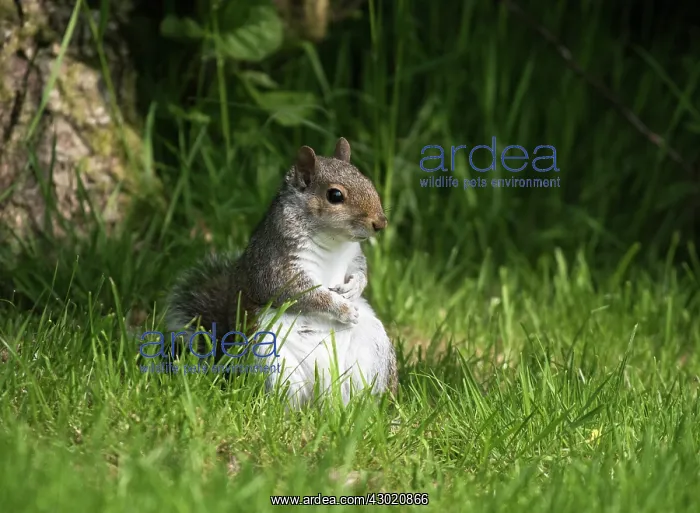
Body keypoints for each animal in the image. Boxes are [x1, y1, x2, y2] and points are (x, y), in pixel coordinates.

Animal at [165, 137, 398, 408]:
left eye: (367, 180)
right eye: (335, 195)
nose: (380, 223)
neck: (334, 241)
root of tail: (322, 399)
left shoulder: (353, 255)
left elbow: (360, 270)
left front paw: (354, 288)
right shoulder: (274, 265)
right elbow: (300, 292)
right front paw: (342, 307)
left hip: (373, 348)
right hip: (268, 355)